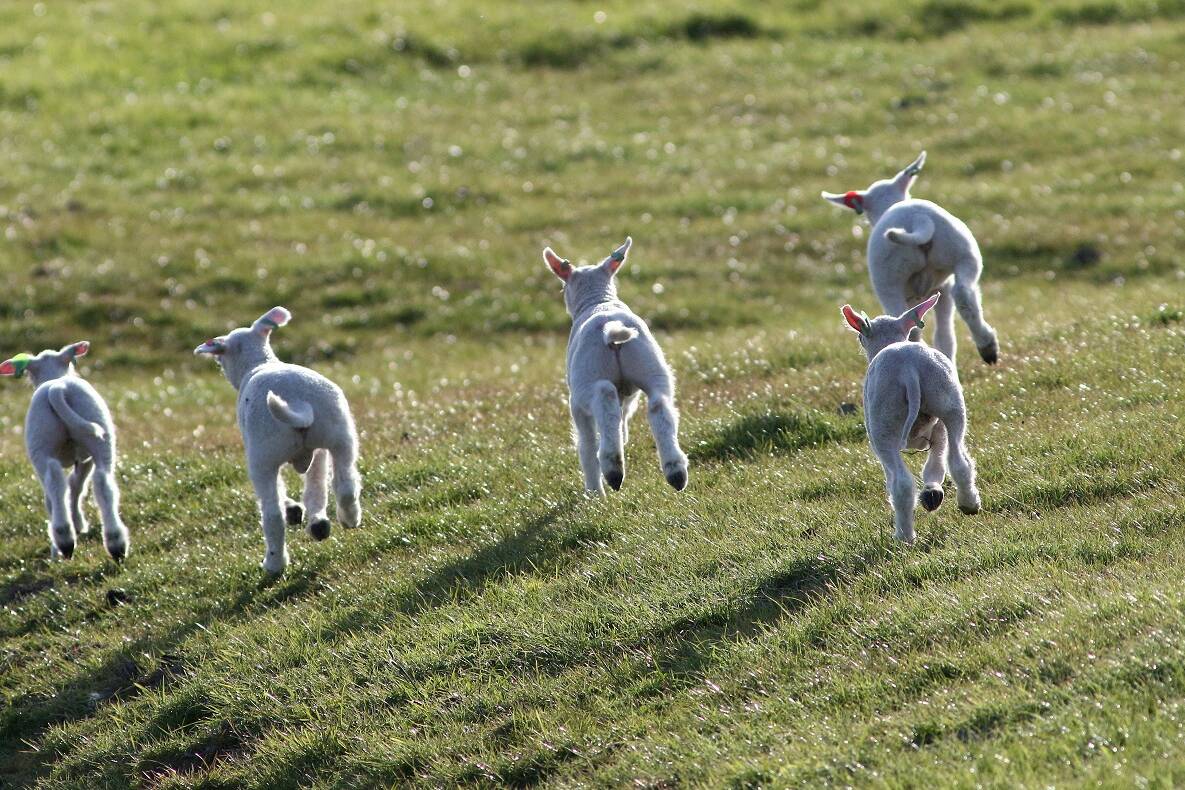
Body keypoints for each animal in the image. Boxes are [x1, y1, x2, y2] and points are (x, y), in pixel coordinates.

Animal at [0, 341, 130, 561]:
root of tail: (57, 388)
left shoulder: (81, 459)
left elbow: (63, 492)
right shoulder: (85, 459)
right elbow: (76, 485)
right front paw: (78, 523)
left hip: (41, 447)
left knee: (55, 486)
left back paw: (63, 541)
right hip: (99, 439)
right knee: (102, 483)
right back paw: (114, 543)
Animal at [194, 307, 362, 575]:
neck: (260, 362)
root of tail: (297, 403)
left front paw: (294, 511)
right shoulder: (318, 452)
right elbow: (316, 486)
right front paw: (315, 520)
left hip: (263, 457)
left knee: (272, 515)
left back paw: (274, 562)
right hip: (340, 437)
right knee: (345, 484)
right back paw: (346, 519)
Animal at [542, 234, 687, 495]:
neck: (599, 300)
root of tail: (612, 326)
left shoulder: (577, 407)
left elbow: (587, 444)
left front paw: (593, 492)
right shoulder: (630, 394)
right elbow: (625, 415)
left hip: (587, 379)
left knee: (605, 396)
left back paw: (612, 469)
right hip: (652, 368)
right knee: (659, 407)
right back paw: (675, 471)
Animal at [824, 152, 1000, 371]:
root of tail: (917, 220)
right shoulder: (942, 287)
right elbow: (945, 335)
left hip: (889, 279)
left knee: (904, 319)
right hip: (962, 252)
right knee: (964, 296)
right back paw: (987, 346)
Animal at [843, 293, 981, 547]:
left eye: (860, 337)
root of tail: (909, 370)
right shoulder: (937, 430)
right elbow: (936, 465)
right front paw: (932, 493)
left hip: (883, 423)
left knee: (901, 485)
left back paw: (903, 537)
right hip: (947, 400)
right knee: (959, 461)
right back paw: (969, 503)